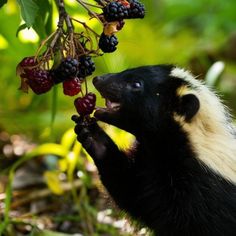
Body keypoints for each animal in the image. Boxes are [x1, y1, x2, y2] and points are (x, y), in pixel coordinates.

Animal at [73, 65, 236, 236]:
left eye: (136, 84)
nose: (98, 79)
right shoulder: (150, 169)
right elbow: (133, 192)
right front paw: (93, 136)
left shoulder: (203, 198)